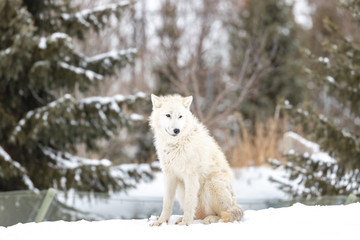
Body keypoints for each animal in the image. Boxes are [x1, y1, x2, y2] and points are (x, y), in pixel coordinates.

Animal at [148, 94, 243, 225]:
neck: (176, 145)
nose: (176, 130)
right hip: (181, 189)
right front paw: (161, 222)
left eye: (180, 116)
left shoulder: (190, 176)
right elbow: (167, 203)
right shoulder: (170, 175)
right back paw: (183, 218)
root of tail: (236, 204)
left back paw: (209, 219)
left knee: (223, 214)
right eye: (168, 115)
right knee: (199, 215)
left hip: (212, 184)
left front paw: (186, 224)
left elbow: (189, 203)